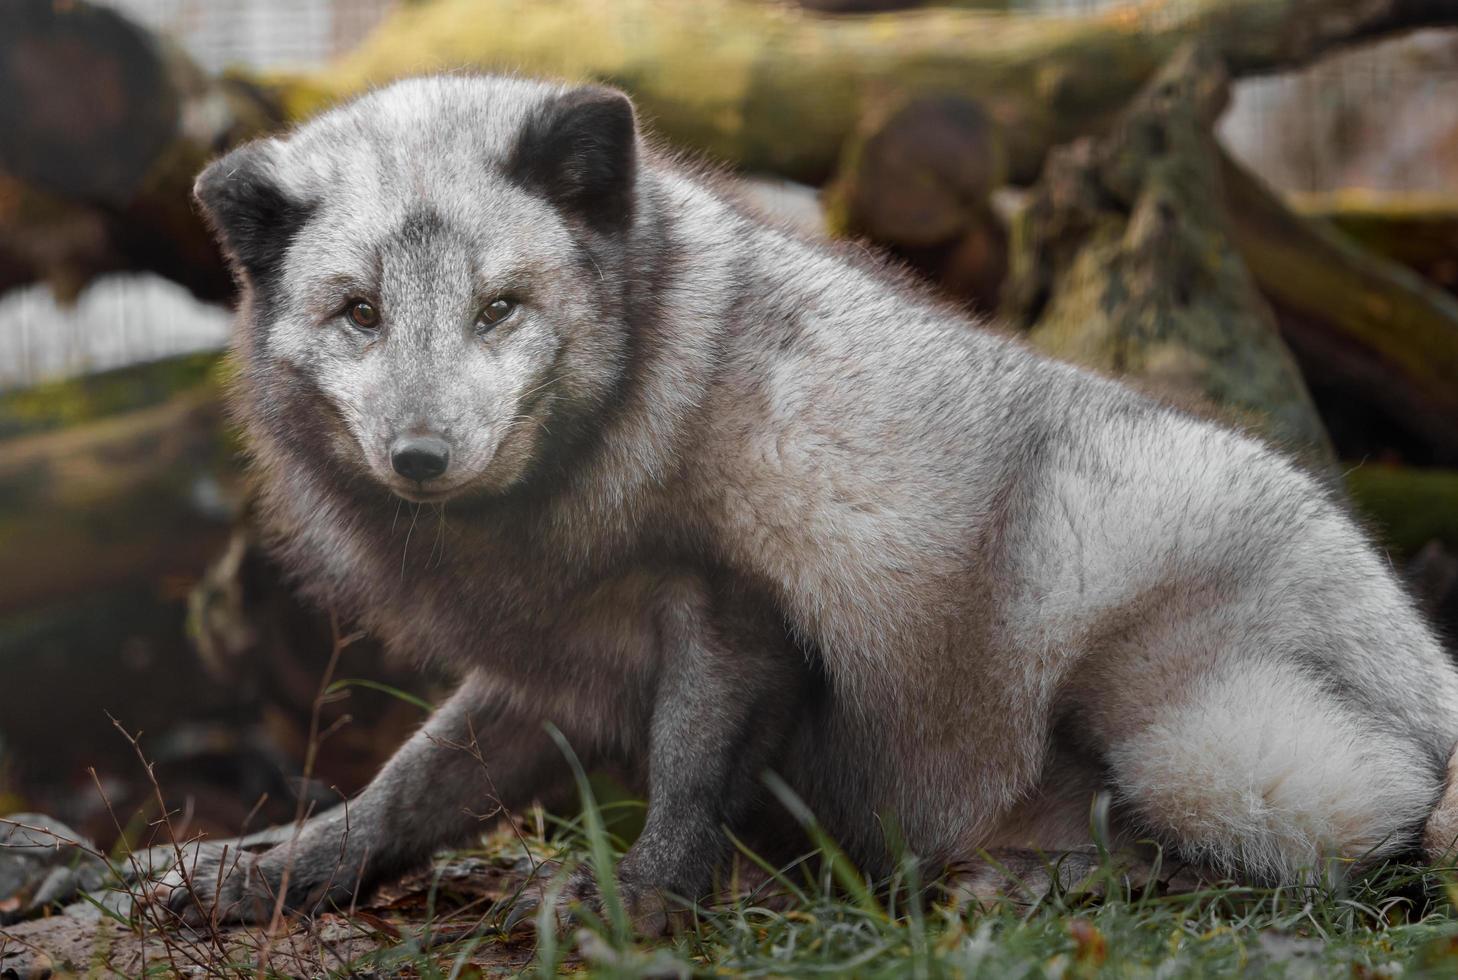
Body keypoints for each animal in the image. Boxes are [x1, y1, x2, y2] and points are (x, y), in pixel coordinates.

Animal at [176, 74, 1458, 927]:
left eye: (500, 307)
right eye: (359, 312)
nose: (422, 454)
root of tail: (1427, 652)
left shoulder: (735, 604)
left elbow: (691, 767)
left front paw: (640, 898)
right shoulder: (561, 661)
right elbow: (412, 785)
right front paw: (272, 870)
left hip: (1201, 731)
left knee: (1369, 832)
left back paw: (1038, 880)